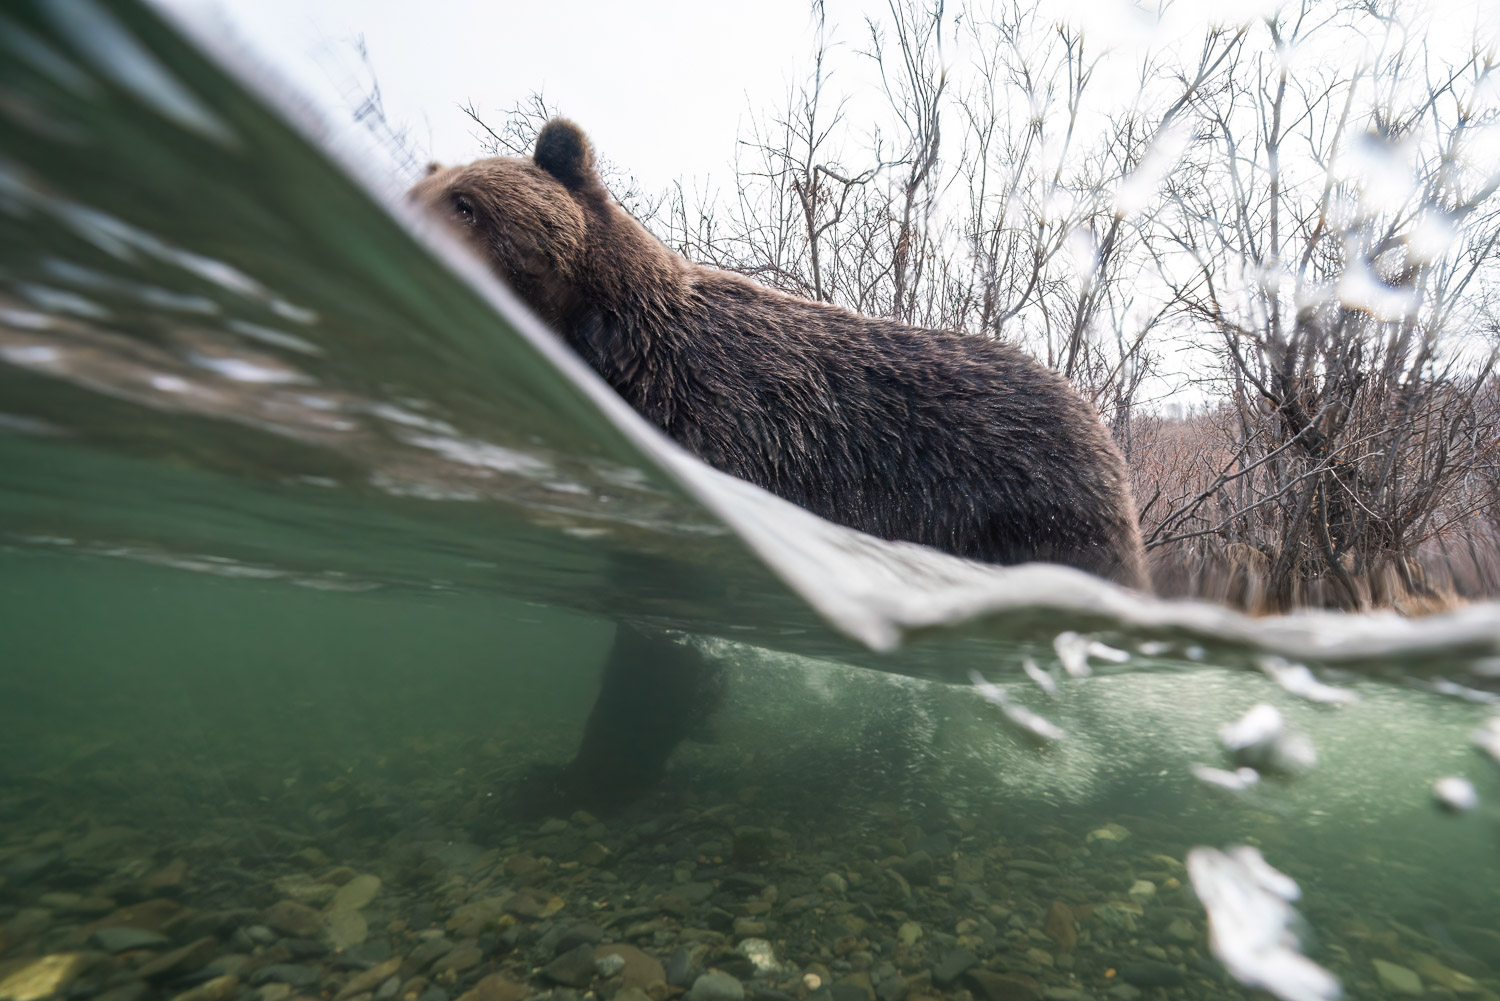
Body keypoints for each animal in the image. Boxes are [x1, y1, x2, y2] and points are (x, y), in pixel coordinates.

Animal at [411, 121, 1146, 816]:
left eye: (467, 204)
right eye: (421, 194)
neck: (622, 357)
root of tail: (1097, 425)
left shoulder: (721, 435)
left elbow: (655, 650)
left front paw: (572, 779)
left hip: (1037, 501)